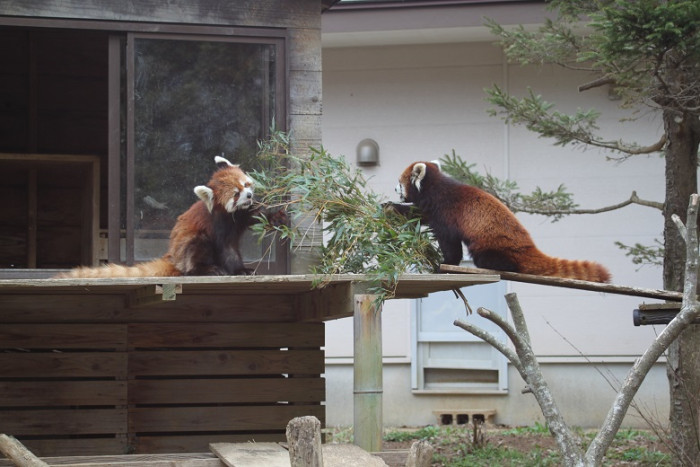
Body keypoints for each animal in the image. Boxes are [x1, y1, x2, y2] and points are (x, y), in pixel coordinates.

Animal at [56, 155, 282, 280]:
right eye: (235, 194)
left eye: (245, 185)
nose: (249, 195)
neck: (230, 215)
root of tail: (172, 256)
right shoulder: (218, 225)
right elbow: (227, 250)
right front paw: (240, 270)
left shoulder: (243, 214)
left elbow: (257, 216)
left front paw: (278, 217)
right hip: (188, 246)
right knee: (197, 247)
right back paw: (206, 269)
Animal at [388, 163, 612, 284]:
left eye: (399, 182)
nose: (394, 189)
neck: (434, 187)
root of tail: (530, 246)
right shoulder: (431, 208)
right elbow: (419, 215)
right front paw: (390, 207)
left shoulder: (445, 211)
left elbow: (449, 242)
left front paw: (446, 263)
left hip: (492, 245)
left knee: (489, 259)